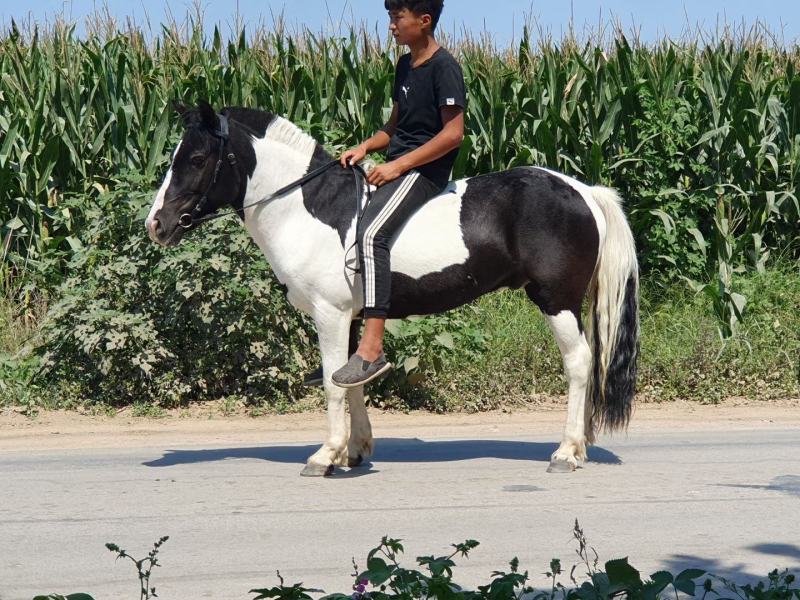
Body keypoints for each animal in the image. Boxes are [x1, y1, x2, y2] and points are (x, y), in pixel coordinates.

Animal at [145, 101, 639, 477]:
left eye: (196, 159)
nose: (156, 225)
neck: (314, 209)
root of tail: (583, 191)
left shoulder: (330, 314)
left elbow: (332, 384)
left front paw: (324, 456)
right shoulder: (349, 318)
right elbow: (350, 381)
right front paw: (354, 451)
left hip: (556, 300)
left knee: (579, 363)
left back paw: (566, 451)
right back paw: (581, 444)